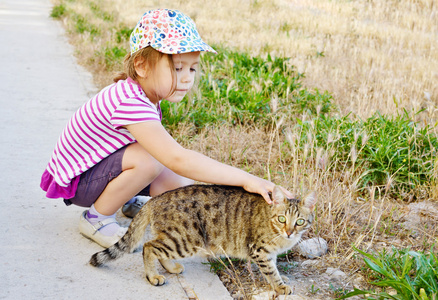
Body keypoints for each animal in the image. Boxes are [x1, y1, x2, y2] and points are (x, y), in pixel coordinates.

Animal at [90, 184, 314, 294]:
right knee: (148, 246)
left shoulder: (270, 253)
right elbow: (270, 271)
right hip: (185, 239)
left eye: (300, 221)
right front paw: (280, 285)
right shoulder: (260, 250)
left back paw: (171, 267)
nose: (289, 232)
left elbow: (274, 266)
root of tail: (155, 199)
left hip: (176, 238)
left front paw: (282, 278)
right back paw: (153, 276)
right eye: (282, 218)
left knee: (156, 248)